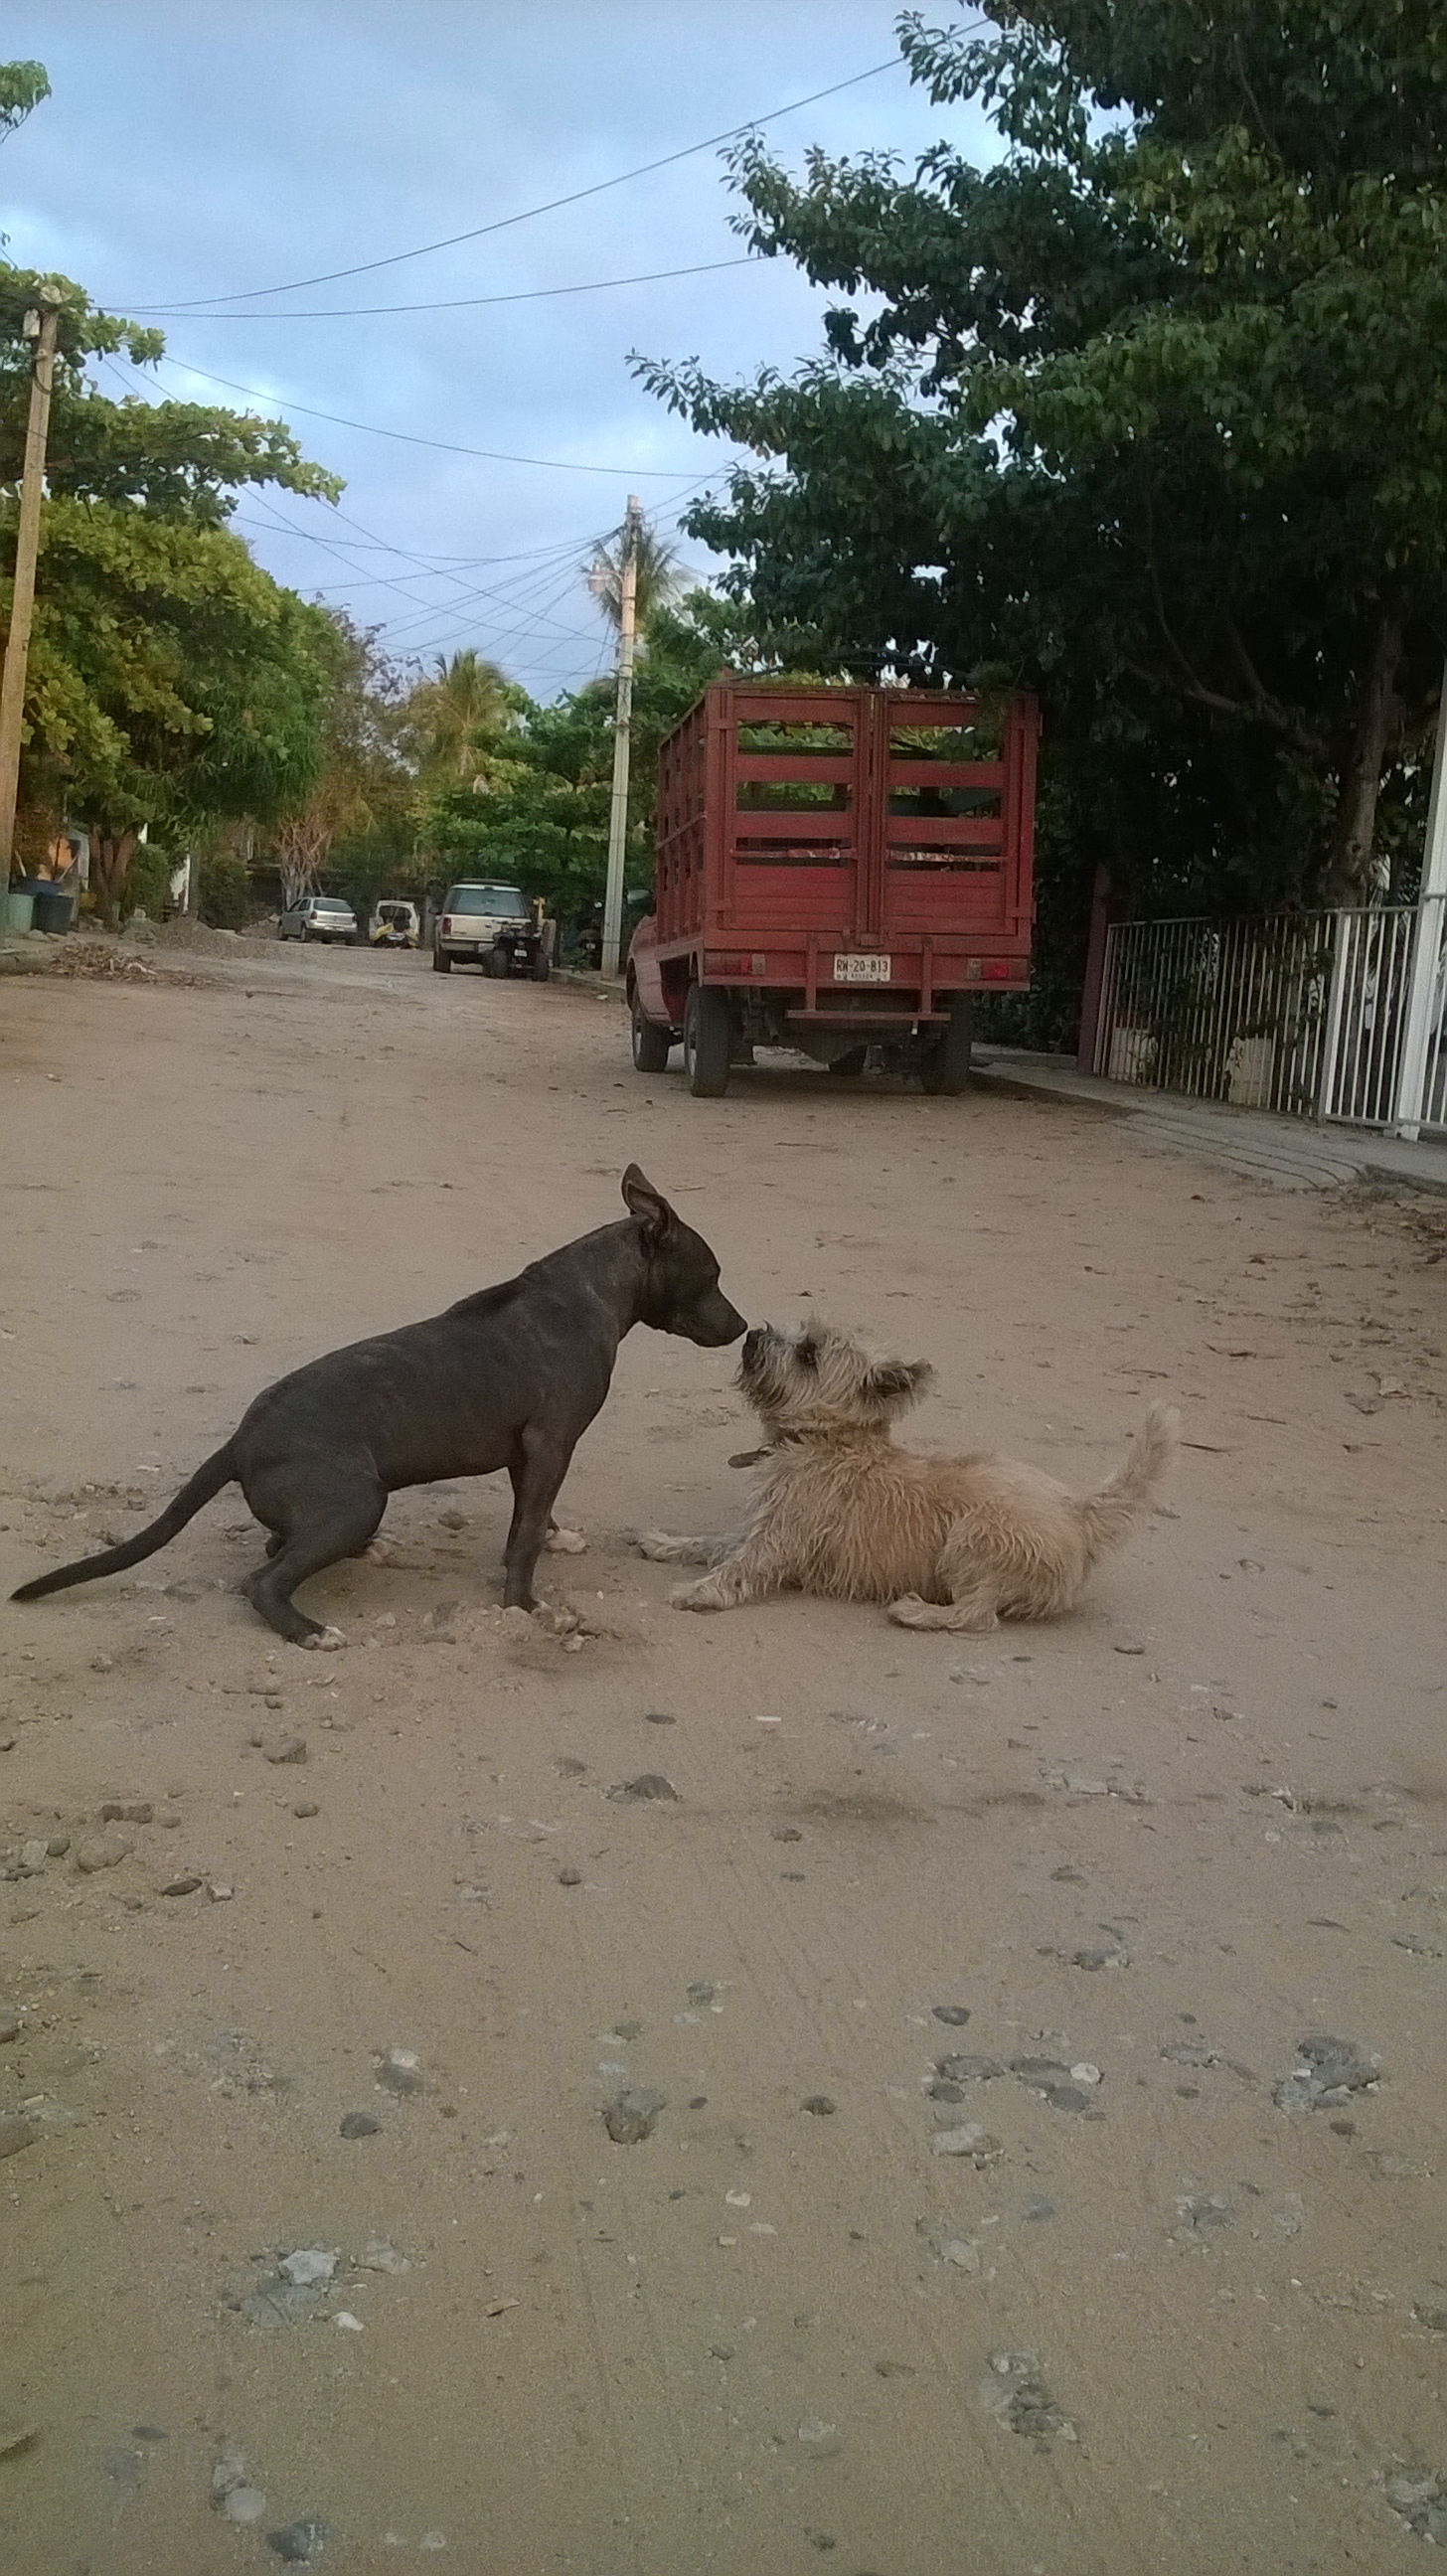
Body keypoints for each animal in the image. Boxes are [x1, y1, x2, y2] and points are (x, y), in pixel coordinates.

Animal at [12, 1167, 745, 1649]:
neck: (591, 1288)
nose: (742, 1328)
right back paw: (308, 1631)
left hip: (336, 1510)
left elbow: (532, 1521)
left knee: (278, 1542)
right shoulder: (551, 1443)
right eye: (711, 1277)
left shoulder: (529, 1452)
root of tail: (240, 1441)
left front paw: (554, 1543)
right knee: (264, 1578)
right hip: (356, 1500)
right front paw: (524, 1605)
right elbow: (525, 1535)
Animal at [637, 1320, 1178, 1631]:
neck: (824, 1439)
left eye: (809, 1353)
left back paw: (917, 1612)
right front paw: (664, 1543)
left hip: (973, 1538)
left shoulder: (776, 1542)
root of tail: (1079, 1514)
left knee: (978, 1616)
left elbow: (736, 1568)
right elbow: (710, 1543)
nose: (751, 1335)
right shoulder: (759, 1527)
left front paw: (695, 1593)